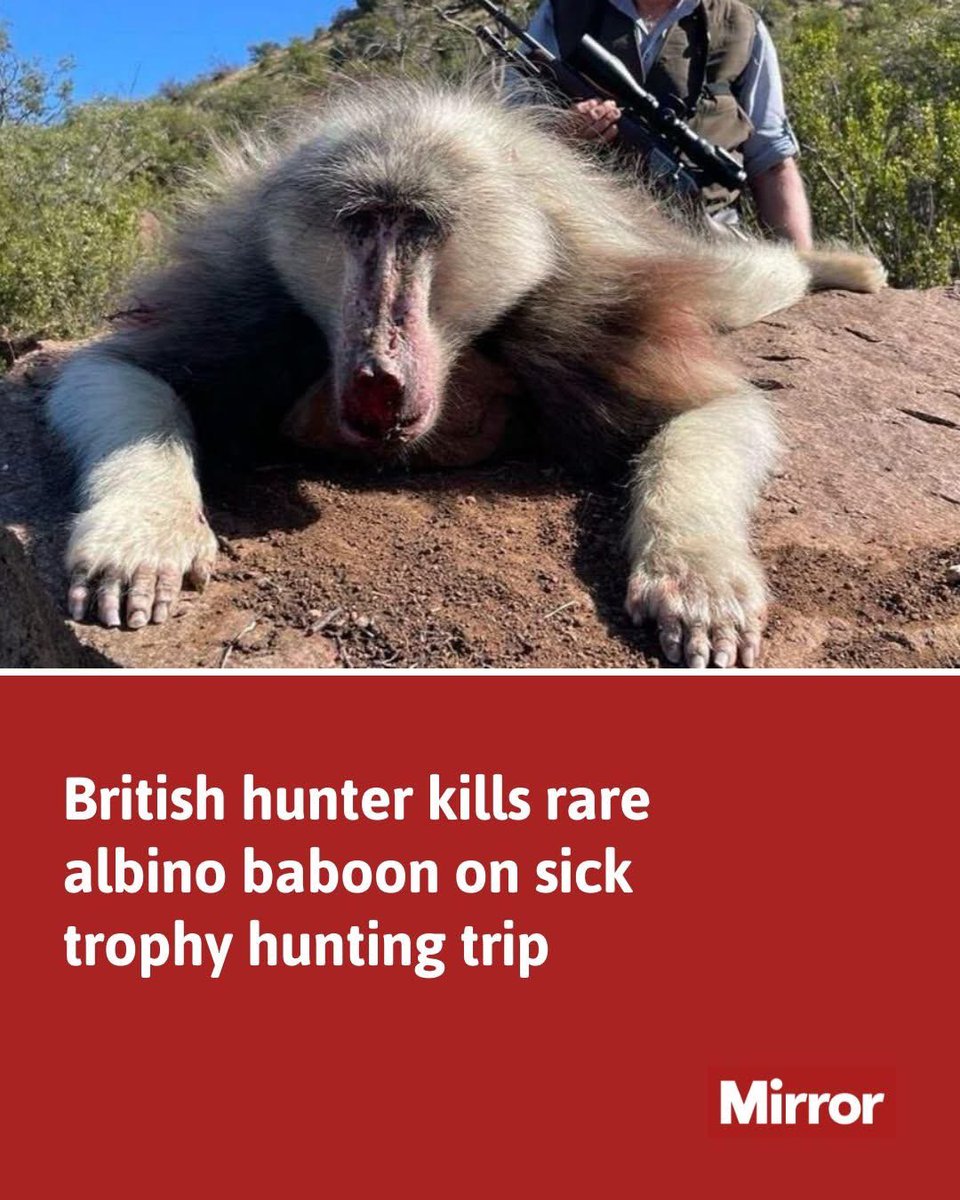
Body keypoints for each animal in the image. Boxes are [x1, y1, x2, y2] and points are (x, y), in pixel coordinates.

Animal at [45, 78, 885, 667]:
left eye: (418, 227)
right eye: (361, 225)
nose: (377, 375)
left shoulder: (583, 312)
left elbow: (716, 413)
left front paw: (698, 575)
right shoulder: (253, 310)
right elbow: (112, 373)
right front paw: (142, 535)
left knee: (738, 286)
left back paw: (835, 267)